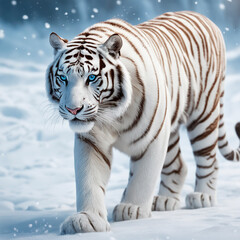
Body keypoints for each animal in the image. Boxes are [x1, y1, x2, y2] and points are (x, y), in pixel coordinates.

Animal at [45, 10, 240, 233]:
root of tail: (203, 16)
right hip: (171, 129)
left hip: (203, 114)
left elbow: (143, 176)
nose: (73, 109)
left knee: (209, 158)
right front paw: (86, 220)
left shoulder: (153, 138)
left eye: (92, 78)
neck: (113, 113)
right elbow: (89, 179)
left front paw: (132, 209)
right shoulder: (91, 141)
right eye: (63, 78)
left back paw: (203, 197)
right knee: (178, 165)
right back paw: (164, 201)